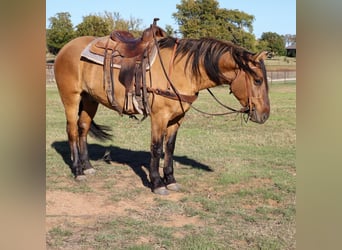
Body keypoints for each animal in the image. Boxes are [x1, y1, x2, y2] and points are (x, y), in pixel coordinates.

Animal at [54, 19, 270, 195]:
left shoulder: (177, 117)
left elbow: (170, 147)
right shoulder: (159, 116)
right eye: (258, 80)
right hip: (71, 98)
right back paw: (78, 171)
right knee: (72, 131)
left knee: (83, 129)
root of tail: (65, 48)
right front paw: (157, 183)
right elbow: (156, 147)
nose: (265, 115)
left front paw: (171, 180)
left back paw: (88, 166)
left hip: (90, 99)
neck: (181, 70)